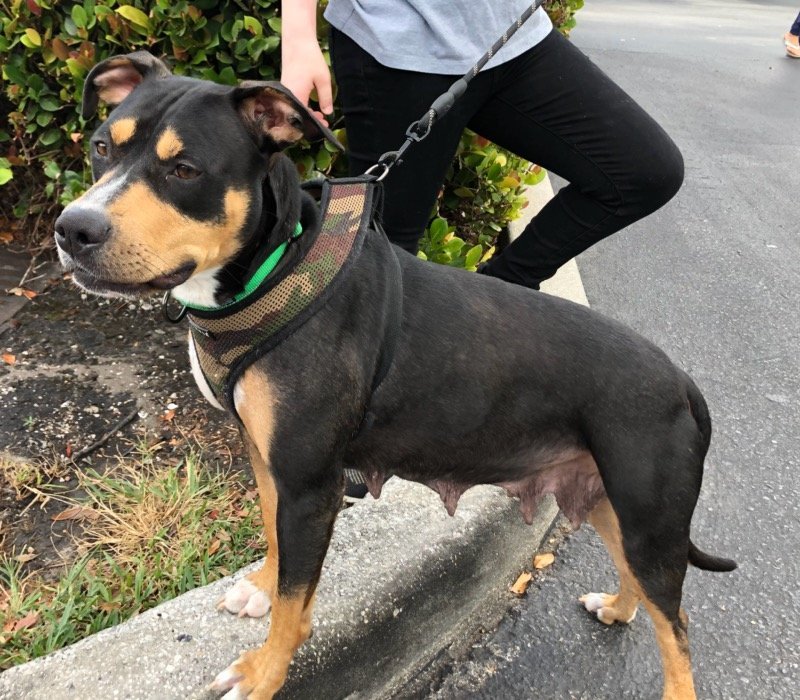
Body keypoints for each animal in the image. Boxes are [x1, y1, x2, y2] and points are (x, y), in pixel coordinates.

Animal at [53, 52, 736, 696]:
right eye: (101, 147)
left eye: (185, 170)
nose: (73, 229)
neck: (272, 269)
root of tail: (682, 381)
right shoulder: (270, 459)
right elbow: (274, 537)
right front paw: (263, 588)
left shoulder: (311, 486)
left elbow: (296, 604)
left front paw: (265, 673)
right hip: (609, 499)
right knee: (643, 587)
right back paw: (618, 609)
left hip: (649, 516)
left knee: (677, 628)